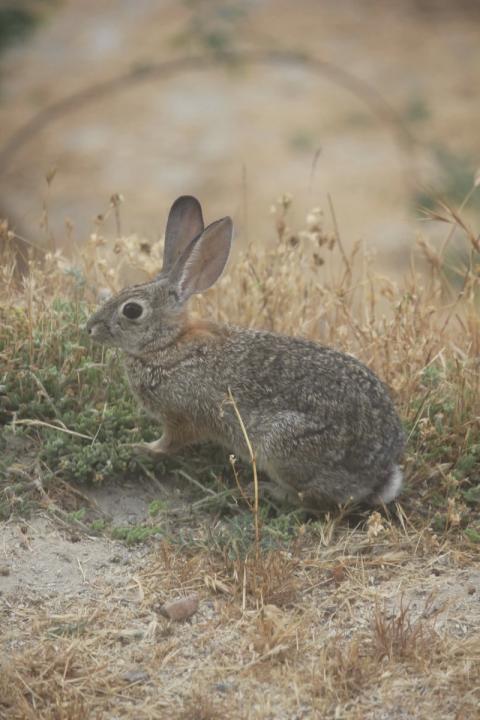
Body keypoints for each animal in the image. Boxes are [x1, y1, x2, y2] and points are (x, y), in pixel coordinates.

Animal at [87, 195, 405, 510]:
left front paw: (140, 448)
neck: (167, 345)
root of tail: (378, 475)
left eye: (131, 310)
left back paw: (262, 490)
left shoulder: (181, 416)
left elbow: (169, 443)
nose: (89, 328)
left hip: (282, 446)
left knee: (315, 500)